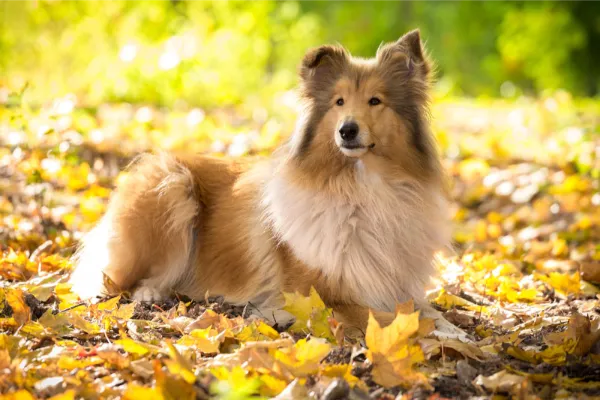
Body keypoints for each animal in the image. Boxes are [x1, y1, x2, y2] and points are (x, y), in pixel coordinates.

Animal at [69, 28, 464, 338]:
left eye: (375, 101)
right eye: (338, 102)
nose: (347, 130)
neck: (363, 188)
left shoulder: (396, 283)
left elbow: (423, 310)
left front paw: (454, 329)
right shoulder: (315, 297)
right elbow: (383, 317)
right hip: (172, 187)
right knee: (115, 279)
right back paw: (150, 294)